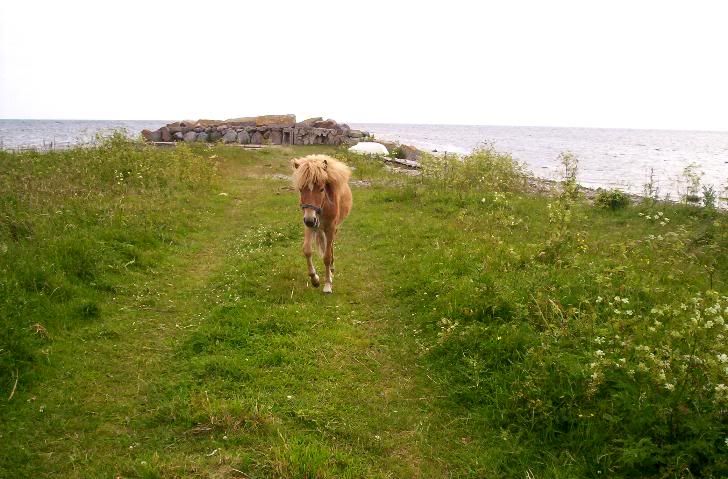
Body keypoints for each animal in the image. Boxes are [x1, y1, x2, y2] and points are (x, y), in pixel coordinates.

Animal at [292, 156, 356, 294]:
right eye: (300, 189)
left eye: (321, 189)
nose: (310, 220)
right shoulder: (309, 227)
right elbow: (307, 250)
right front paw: (315, 279)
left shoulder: (330, 228)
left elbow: (326, 257)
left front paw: (327, 285)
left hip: (332, 229)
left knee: (330, 247)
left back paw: (331, 269)